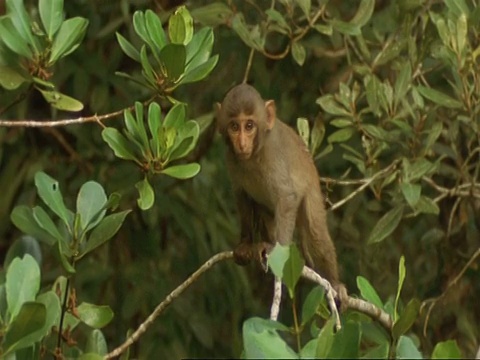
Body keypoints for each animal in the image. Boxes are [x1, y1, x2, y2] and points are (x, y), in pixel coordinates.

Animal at [216, 83, 346, 304]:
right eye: (234, 127)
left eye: (249, 126)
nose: (241, 143)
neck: (255, 155)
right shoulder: (230, 159)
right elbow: (242, 196)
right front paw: (245, 244)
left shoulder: (272, 154)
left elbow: (286, 197)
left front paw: (277, 248)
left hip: (311, 193)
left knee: (315, 230)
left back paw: (335, 283)